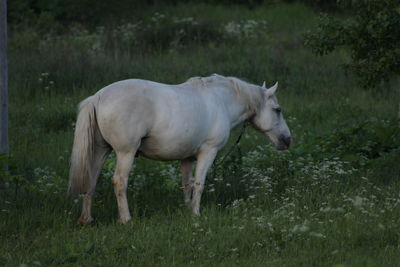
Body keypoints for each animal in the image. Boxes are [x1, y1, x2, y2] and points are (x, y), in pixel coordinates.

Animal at [69, 74, 290, 226]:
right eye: (277, 110)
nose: (287, 140)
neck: (221, 100)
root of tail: (98, 97)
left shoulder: (187, 158)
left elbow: (187, 184)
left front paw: (186, 210)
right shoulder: (208, 152)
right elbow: (199, 184)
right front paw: (196, 213)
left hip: (100, 151)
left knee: (90, 181)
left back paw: (86, 219)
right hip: (126, 153)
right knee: (119, 182)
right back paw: (126, 219)